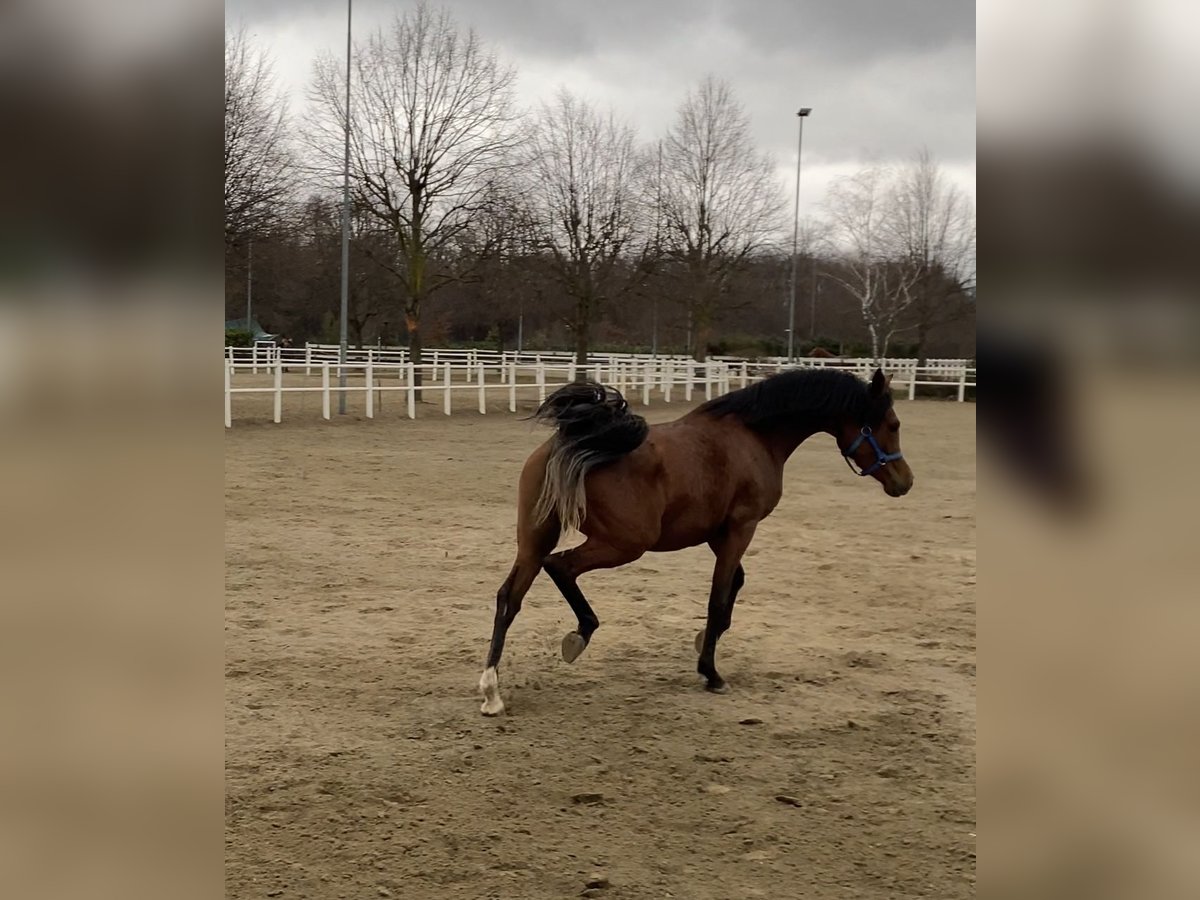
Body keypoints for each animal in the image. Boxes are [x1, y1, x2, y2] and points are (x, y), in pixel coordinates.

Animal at [478, 367, 913, 716]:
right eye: (892, 424)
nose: (905, 482)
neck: (754, 436)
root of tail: (572, 445)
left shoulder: (719, 534)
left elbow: (735, 585)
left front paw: (706, 639)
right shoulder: (741, 527)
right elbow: (718, 597)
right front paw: (711, 671)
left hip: (535, 539)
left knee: (509, 598)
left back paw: (492, 692)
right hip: (625, 543)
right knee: (560, 566)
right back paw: (578, 636)